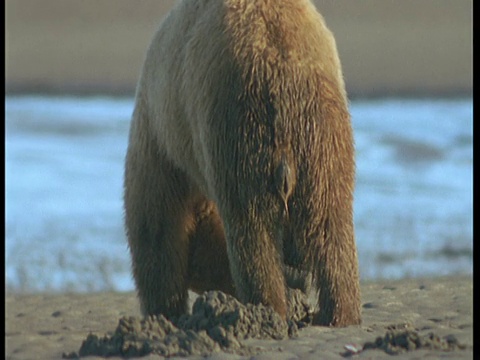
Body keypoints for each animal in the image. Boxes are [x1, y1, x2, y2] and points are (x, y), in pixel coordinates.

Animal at [124, 0, 360, 328]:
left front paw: (164, 309)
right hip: (324, 132)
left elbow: (155, 224)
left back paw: (267, 308)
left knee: (251, 227)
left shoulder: (160, 136)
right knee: (331, 222)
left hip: (238, 123)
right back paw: (339, 313)